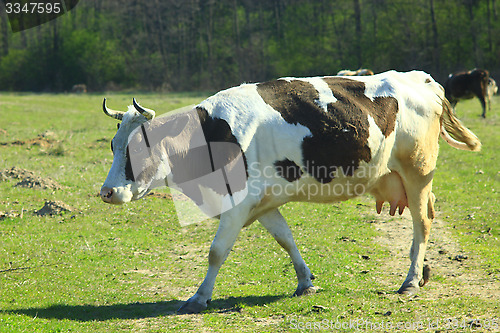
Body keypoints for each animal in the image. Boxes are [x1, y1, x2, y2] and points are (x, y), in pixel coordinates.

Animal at [98, 70, 480, 314]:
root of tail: (422, 79)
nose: (107, 192)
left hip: (418, 172)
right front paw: (305, 281)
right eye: (115, 145)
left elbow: (216, 252)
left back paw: (411, 280)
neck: (211, 135)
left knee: (422, 224)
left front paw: (199, 297)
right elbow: (286, 239)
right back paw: (422, 274)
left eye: (138, 149)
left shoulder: (235, 205)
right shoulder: (262, 203)